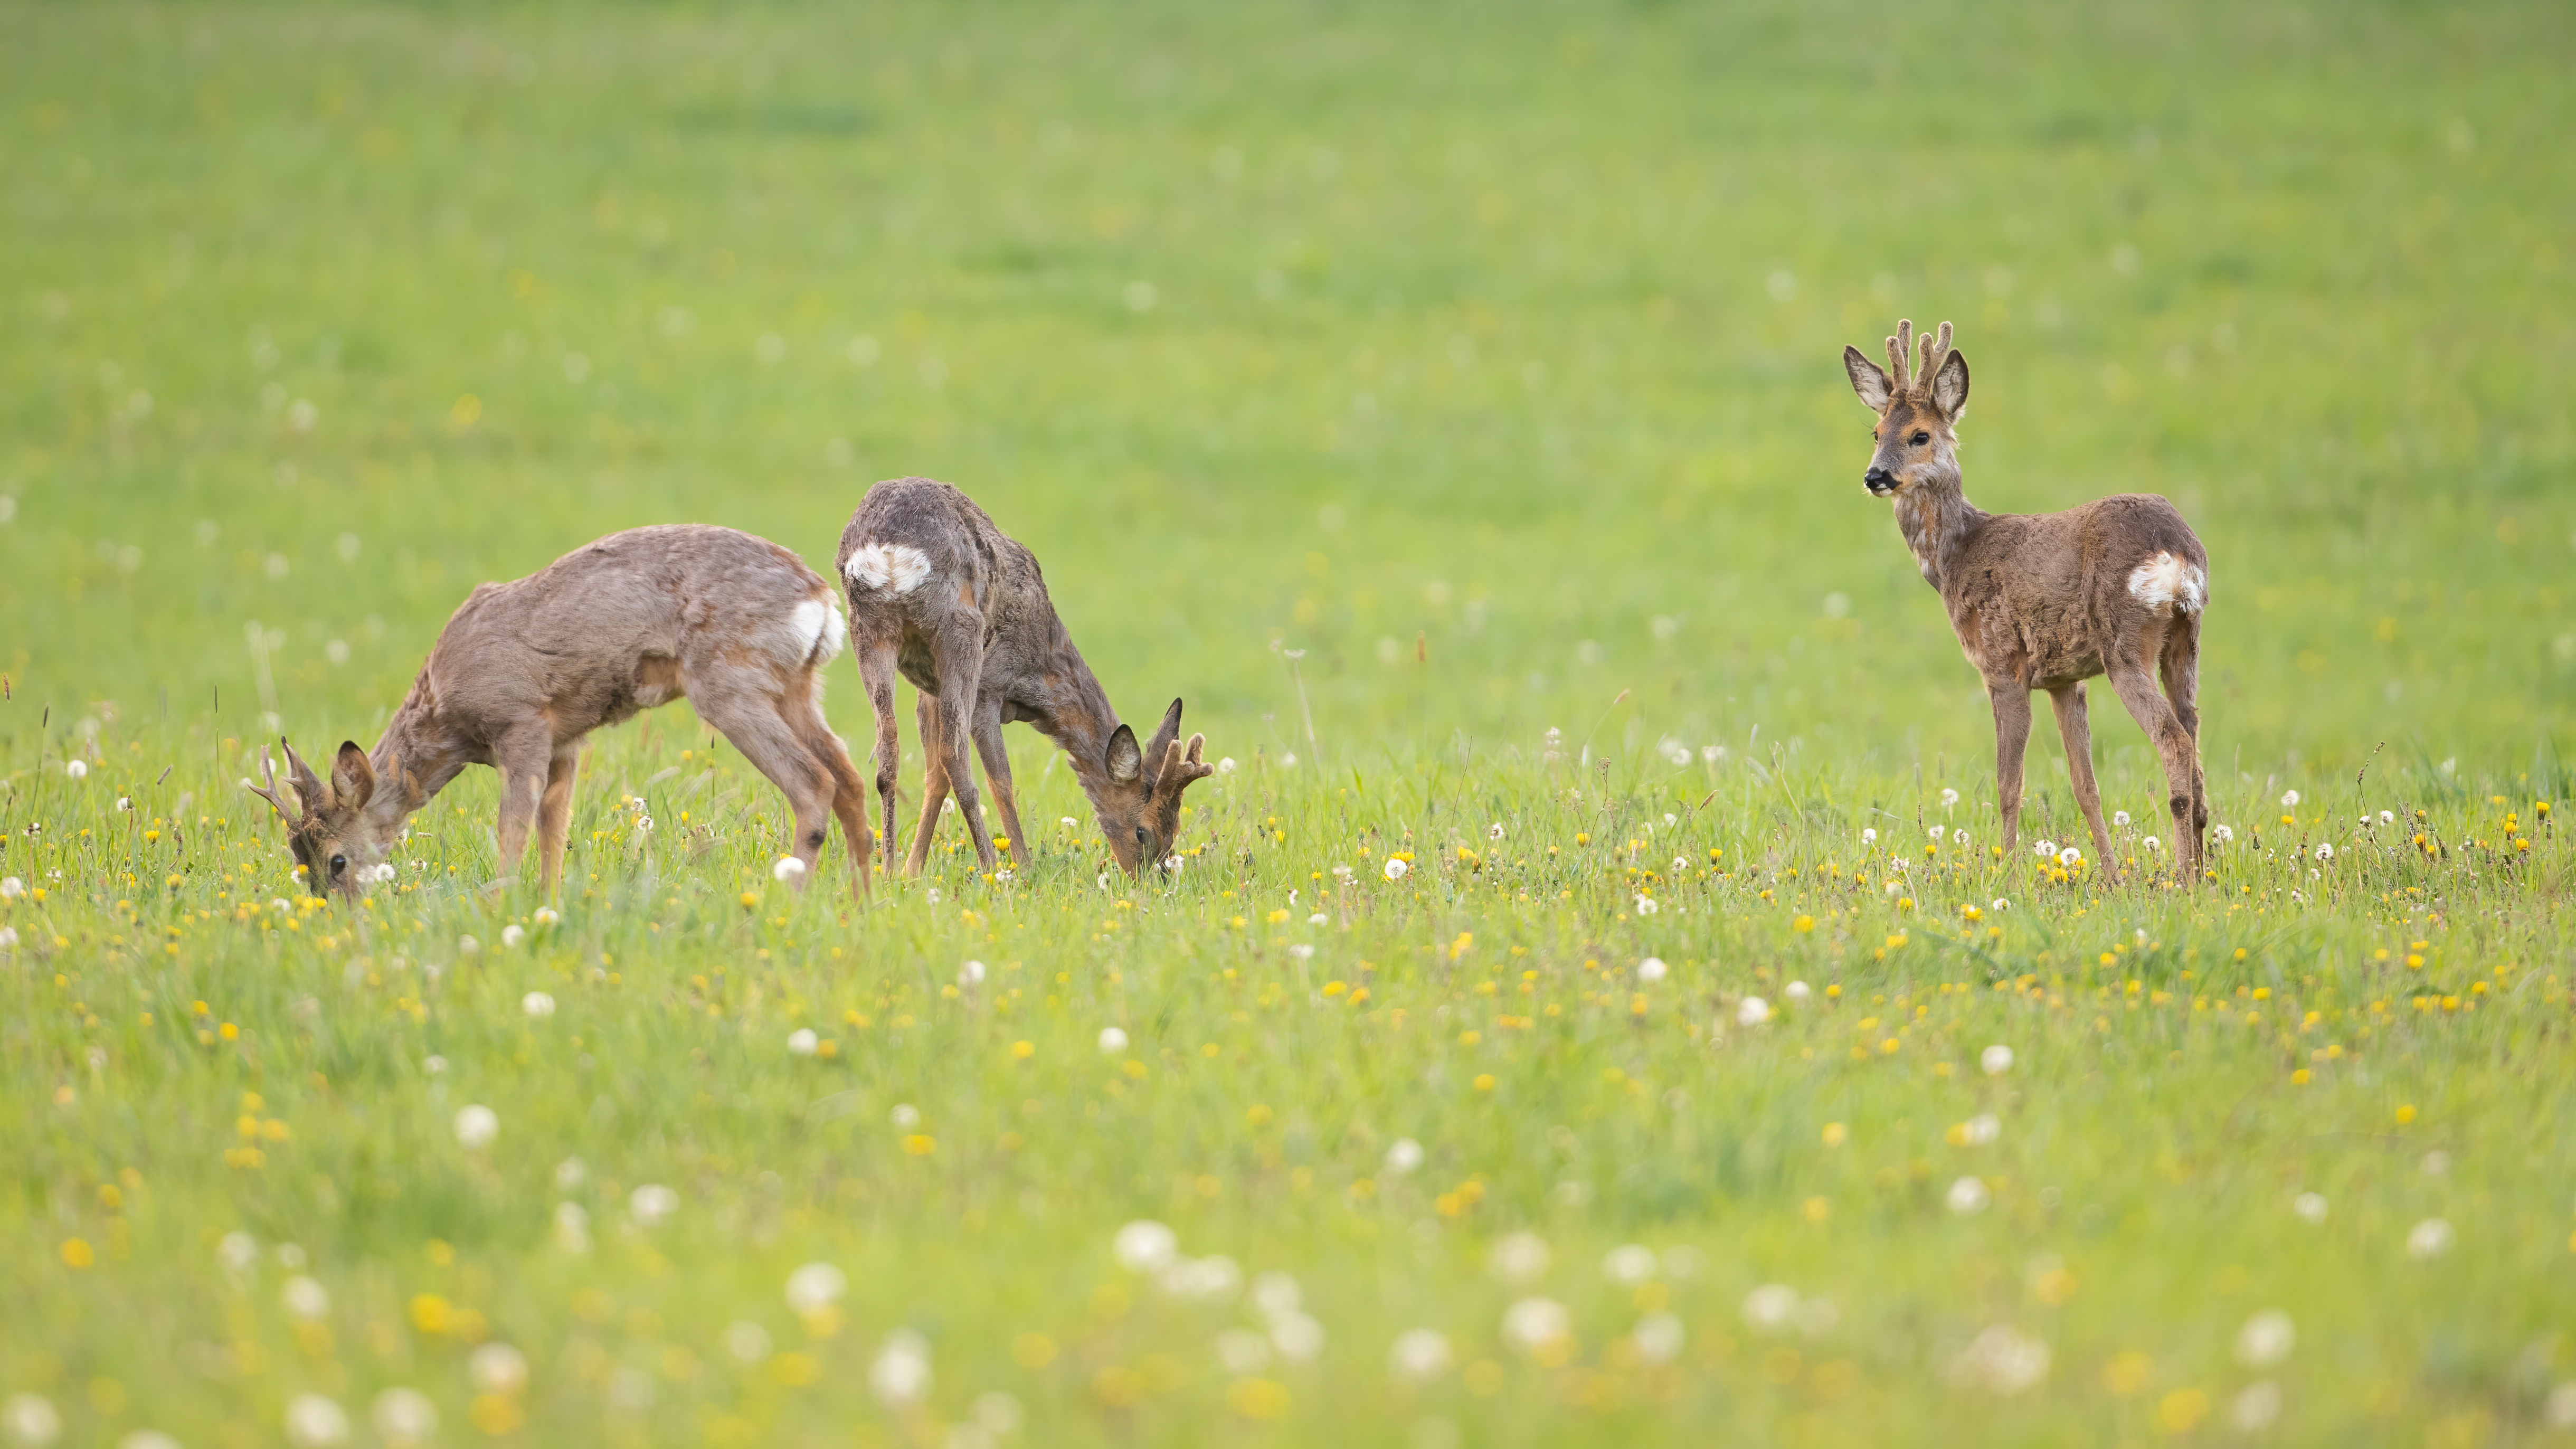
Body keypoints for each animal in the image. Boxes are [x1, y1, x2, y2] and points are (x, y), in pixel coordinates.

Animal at [251, 523, 876, 897]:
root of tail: (819, 597)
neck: (447, 715)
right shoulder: (566, 741)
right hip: (796, 686)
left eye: (336, 860)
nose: (338, 913)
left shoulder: (521, 720)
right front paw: (546, 904)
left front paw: (499, 905)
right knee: (849, 777)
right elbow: (555, 830)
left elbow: (513, 828)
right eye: (297, 856)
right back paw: (865, 902)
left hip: (728, 682)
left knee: (813, 782)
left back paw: (788, 899)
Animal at [835, 479, 1216, 876]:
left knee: (889, 752)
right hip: (960, 630)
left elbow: (933, 775)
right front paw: (1025, 866)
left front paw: (911, 870)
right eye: (1143, 831)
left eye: (1174, 830)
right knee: (956, 758)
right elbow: (1001, 780)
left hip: (870, 628)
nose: (1152, 879)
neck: (1038, 675)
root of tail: (890, 553)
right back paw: (991, 866)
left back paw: (886, 869)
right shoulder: (988, 688)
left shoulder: (930, 690)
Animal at [1834, 319, 2215, 876]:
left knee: (2175, 741)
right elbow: (2085, 786)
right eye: (1876, 433)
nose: (1875, 476)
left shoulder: (2003, 663)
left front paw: (2008, 871)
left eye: (1920, 435)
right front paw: (2111, 877)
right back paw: (2204, 872)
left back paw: (2184, 877)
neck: (1956, 555)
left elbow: (2008, 783)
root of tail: (2178, 550)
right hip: (2185, 639)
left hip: (2125, 644)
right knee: (2195, 739)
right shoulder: (2063, 678)